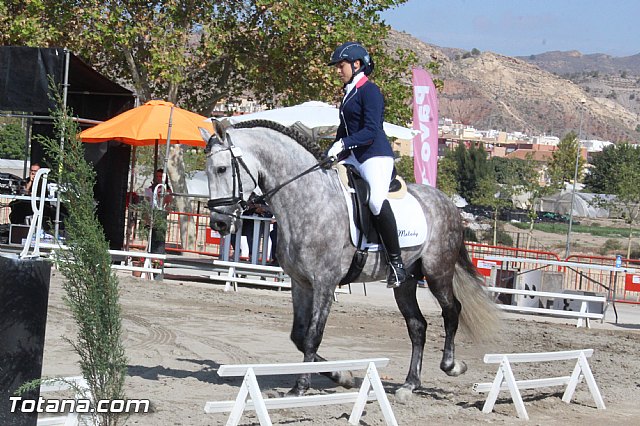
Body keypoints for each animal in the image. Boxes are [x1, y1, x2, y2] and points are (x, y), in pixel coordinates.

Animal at [201, 120, 498, 401]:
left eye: (222, 169)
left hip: (437, 272)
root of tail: (445, 202)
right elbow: (298, 335)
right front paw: (343, 376)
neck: (308, 199)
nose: (218, 223)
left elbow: (312, 336)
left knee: (452, 311)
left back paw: (452, 366)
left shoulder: (325, 282)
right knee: (417, 326)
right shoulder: (301, 283)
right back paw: (409, 384)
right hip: (405, 281)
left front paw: (301, 387)